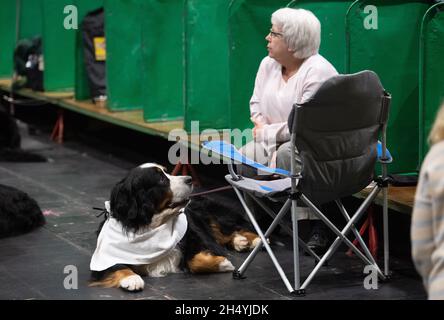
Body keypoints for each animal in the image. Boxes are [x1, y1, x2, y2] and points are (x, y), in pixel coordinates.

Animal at [90, 164, 260, 292]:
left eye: (167, 171)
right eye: (161, 179)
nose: (189, 179)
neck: (152, 226)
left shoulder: (199, 236)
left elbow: (196, 260)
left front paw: (223, 264)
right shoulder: (103, 253)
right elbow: (114, 265)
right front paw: (131, 278)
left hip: (213, 214)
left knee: (229, 228)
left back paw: (254, 240)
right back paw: (240, 241)